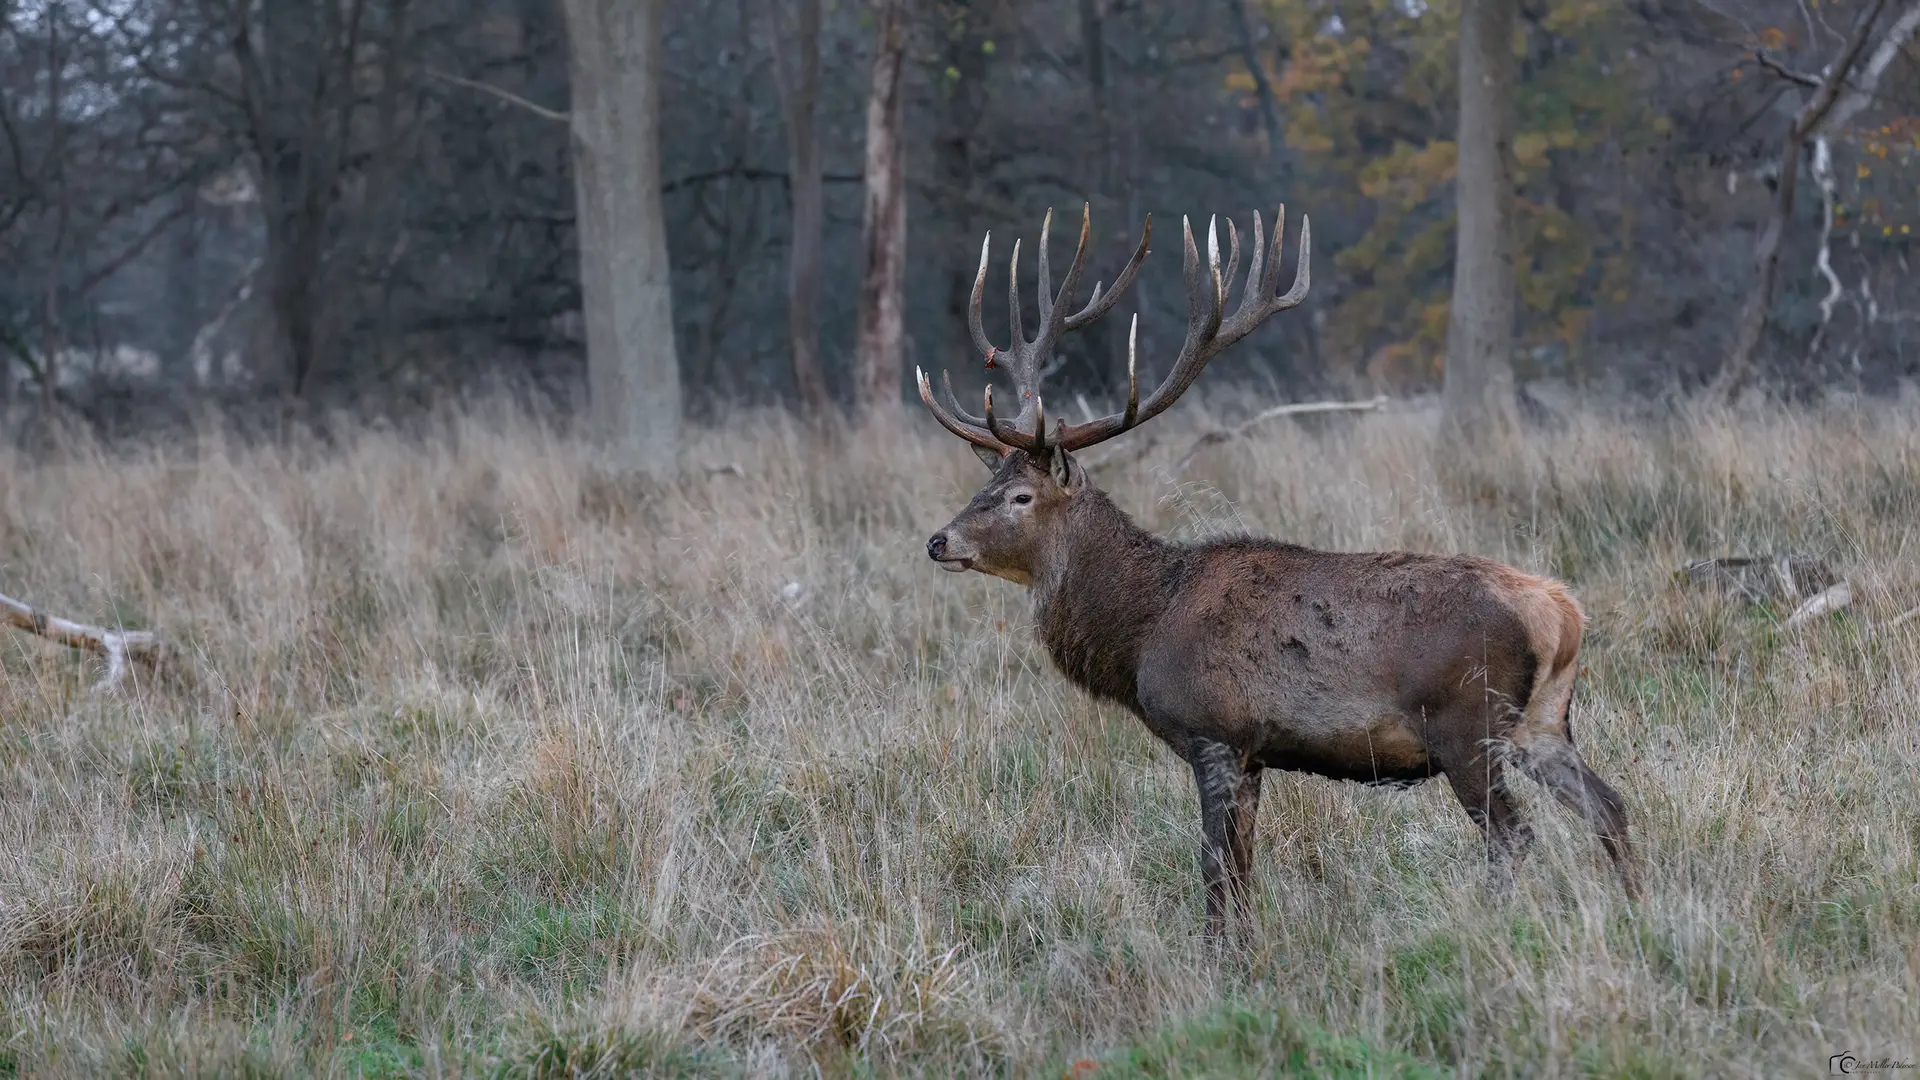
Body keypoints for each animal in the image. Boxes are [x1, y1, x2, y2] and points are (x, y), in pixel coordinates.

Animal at [916, 203, 1639, 939]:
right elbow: (1243, 869)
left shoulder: (1214, 732)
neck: (1144, 628)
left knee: (1513, 834)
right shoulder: (1255, 754)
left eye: (1019, 496)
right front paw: (1247, 947)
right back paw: (1637, 913)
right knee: (1611, 805)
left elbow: (1215, 868)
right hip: (1543, 721)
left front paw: (1218, 955)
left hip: (1467, 719)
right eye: (988, 482)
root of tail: (1561, 613)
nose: (939, 541)